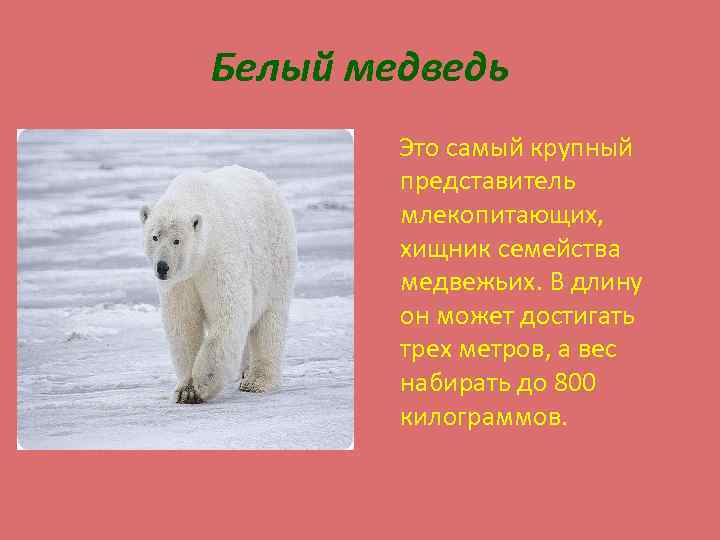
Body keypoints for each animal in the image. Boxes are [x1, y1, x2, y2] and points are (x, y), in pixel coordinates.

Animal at [139, 165, 297, 404]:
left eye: (177, 240)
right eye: (155, 236)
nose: (162, 267)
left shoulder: (218, 258)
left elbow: (228, 314)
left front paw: (202, 384)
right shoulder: (182, 281)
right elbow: (183, 323)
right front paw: (185, 390)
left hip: (276, 262)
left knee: (269, 321)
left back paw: (256, 380)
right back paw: (245, 371)